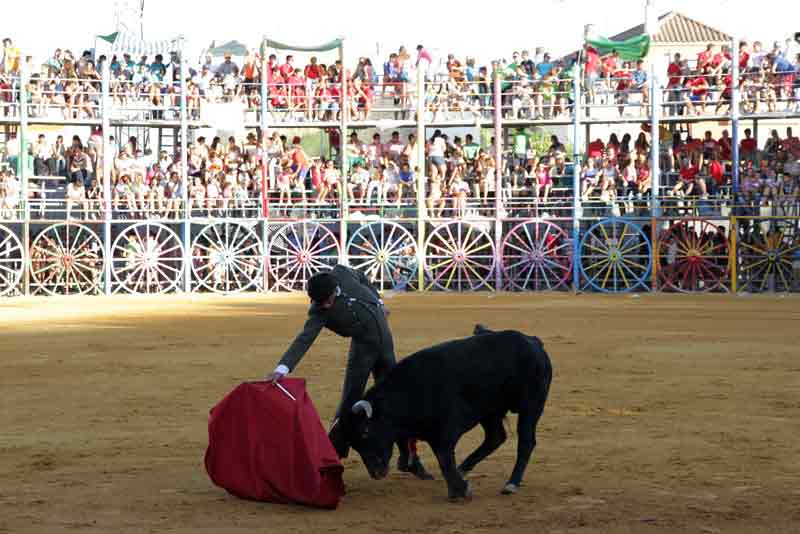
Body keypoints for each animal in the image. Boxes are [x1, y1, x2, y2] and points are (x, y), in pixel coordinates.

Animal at [330, 324, 552, 504]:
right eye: (353, 444)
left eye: (365, 432)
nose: (376, 472)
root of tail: (533, 342)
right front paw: (457, 486)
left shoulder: (445, 432)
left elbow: (444, 458)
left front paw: (460, 490)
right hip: (491, 412)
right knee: (495, 437)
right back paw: (464, 467)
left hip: (531, 406)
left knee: (525, 442)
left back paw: (511, 483)